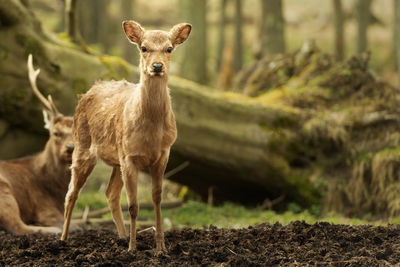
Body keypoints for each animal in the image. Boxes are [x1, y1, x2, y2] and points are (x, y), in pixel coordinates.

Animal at [60, 19, 191, 254]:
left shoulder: (163, 154)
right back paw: (63, 239)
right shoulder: (129, 156)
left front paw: (161, 248)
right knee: (71, 193)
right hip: (82, 144)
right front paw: (132, 249)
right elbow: (133, 205)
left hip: (115, 159)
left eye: (169, 48)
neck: (151, 132)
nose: (157, 66)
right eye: (143, 48)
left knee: (110, 194)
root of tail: (87, 92)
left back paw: (121, 237)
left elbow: (156, 200)